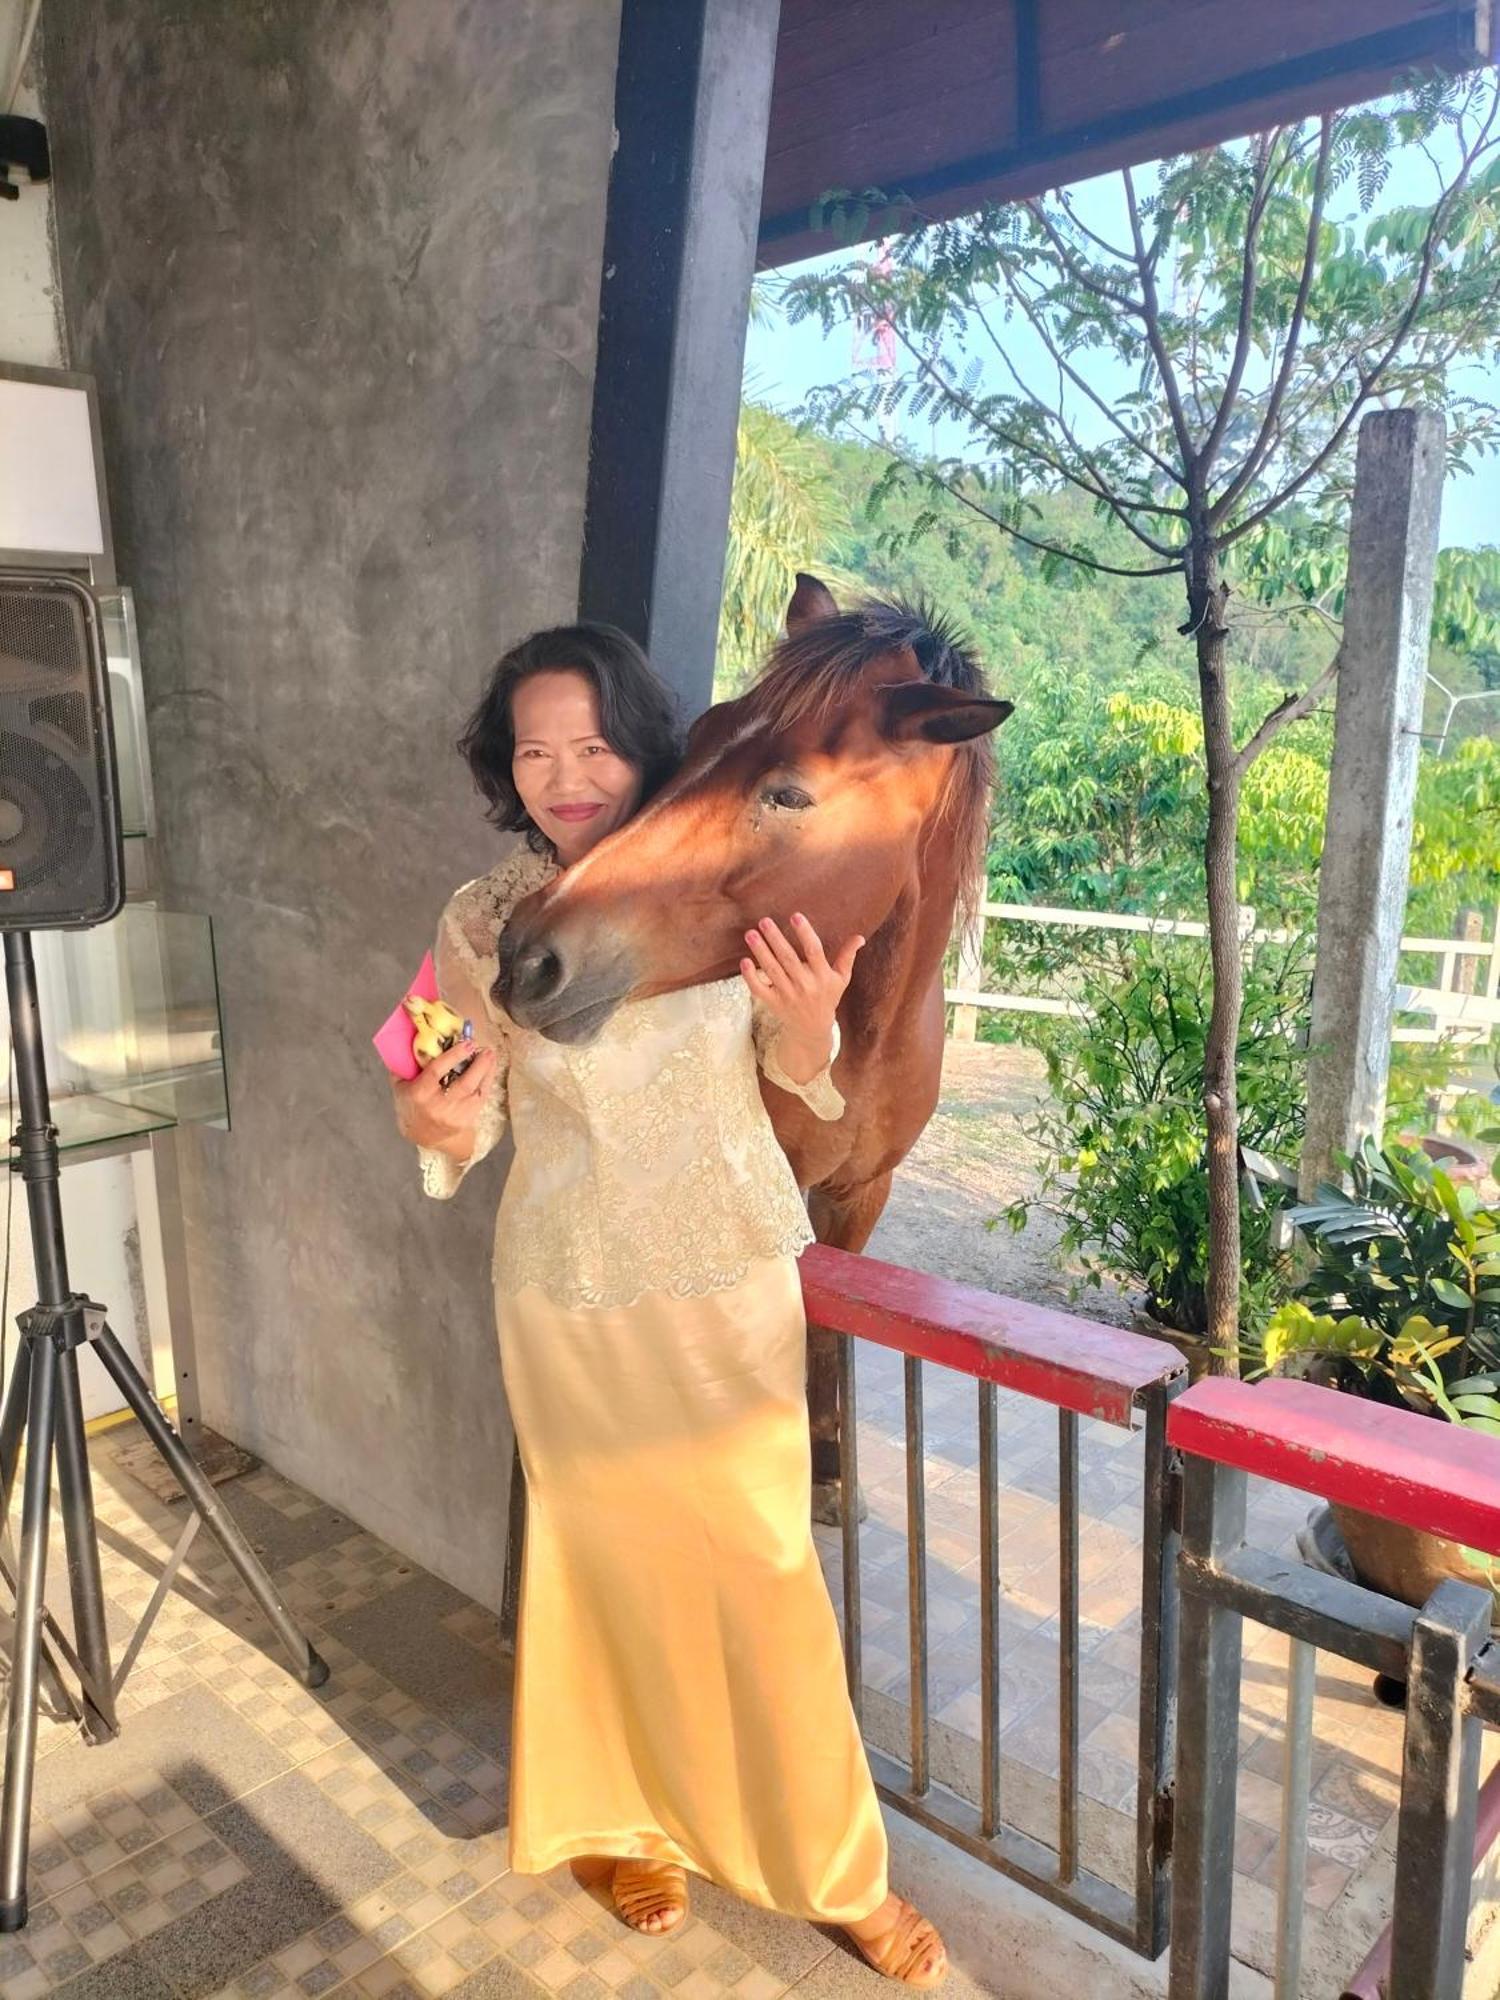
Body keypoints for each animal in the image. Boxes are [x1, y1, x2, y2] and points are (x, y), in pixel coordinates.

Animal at [502, 580, 1012, 1512]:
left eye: (789, 796)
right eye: (698, 738)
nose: (526, 955)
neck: (860, 1044)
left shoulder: (860, 1195)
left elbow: (830, 1331)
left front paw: (832, 1457)